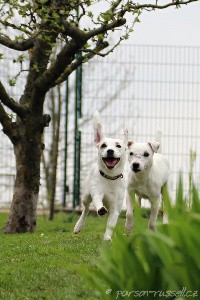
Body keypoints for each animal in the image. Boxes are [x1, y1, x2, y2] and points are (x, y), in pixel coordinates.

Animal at [73, 111, 126, 240]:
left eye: (118, 146)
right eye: (103, 145)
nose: (110, 151)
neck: (110, 177)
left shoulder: (116, 207)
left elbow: (111, 222)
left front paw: (107, 237)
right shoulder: (97, 192)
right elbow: (97, 201)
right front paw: (101, 210)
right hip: (86, 195)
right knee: (86, 209)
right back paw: (79, 225)